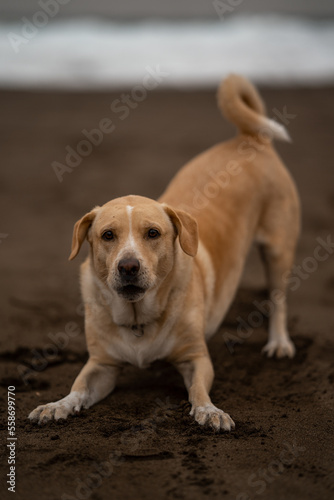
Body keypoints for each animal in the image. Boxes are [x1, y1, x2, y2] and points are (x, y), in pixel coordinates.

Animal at [28, 75, 300, 434]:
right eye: (107, 235)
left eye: (153, 233)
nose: (128, 266)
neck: (137, 318)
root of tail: (252, 139)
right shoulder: (101, 364)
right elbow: (77, 387)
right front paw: (56, 405)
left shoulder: (195, 357)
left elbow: (198, 389)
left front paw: (209, 410)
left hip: (278, 249)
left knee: (279, 297)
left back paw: (279, 342)